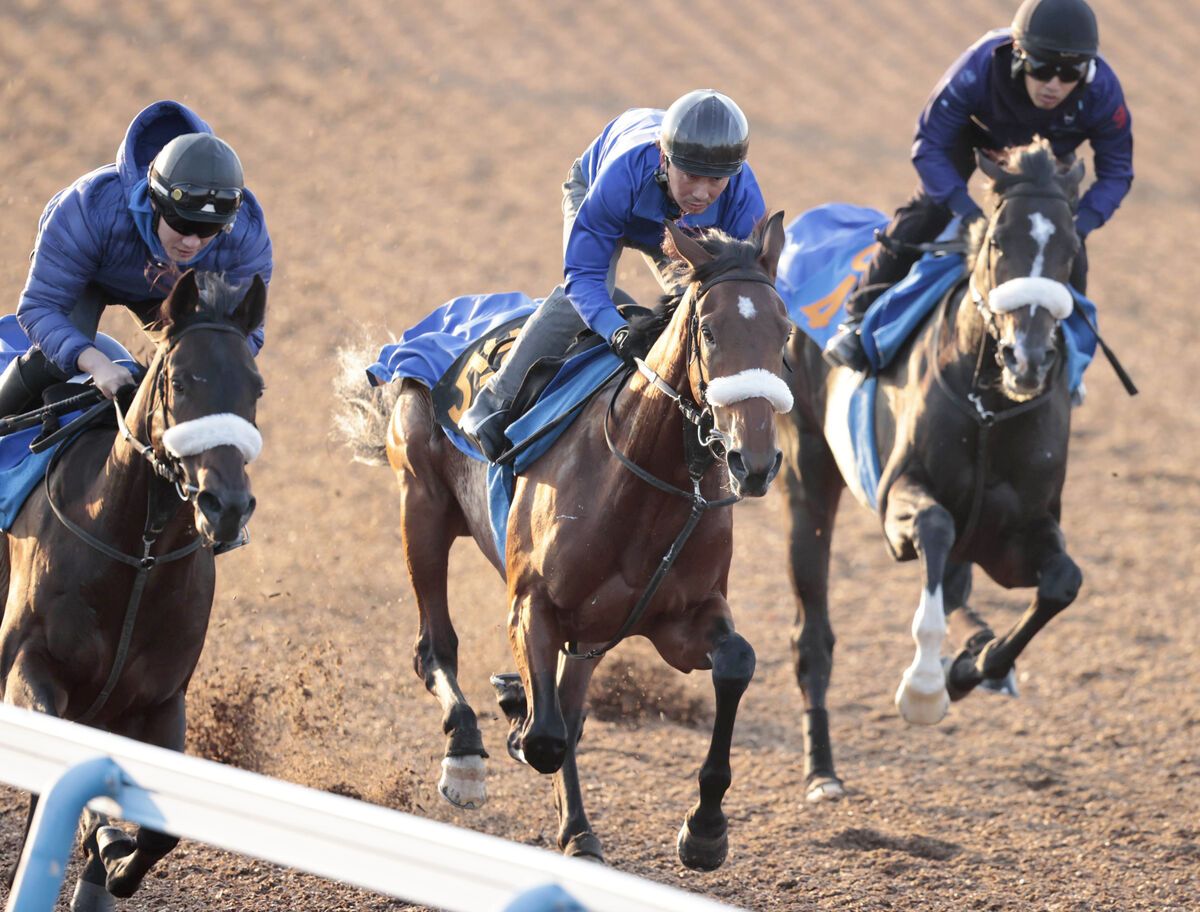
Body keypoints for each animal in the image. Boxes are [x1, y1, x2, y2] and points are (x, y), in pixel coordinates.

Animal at [0, 271, 267, 912]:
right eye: (180, 379)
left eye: (256, 388)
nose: (226, 506)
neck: (136, 551)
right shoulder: (26, 667)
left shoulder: (159, 701)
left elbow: (159, 830)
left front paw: (112, 863)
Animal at [340, 213, 796, 868]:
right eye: (709, 333)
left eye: (785, 333)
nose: (752, 461)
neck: (642, 480)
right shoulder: (532, 605)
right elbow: (545, 736)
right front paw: (512, 716)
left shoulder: (679, 622)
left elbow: (735, 662)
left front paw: (706, 829)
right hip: (420, 506)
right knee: (436, 649)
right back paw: (467, 754)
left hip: (592, 626)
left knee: (568, 706)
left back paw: (578, 830)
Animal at [782, 139, 1094, 801]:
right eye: (999, 241)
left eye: (1070, 249)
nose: (1028, 357)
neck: (989, 406)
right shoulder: (900, 496)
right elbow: (933, 529)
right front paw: (925, 685)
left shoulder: (1018, 531)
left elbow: (1062, 582)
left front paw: (973, 668)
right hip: (806, 470)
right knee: (812, 631)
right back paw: (822, 769)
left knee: (957, 585)